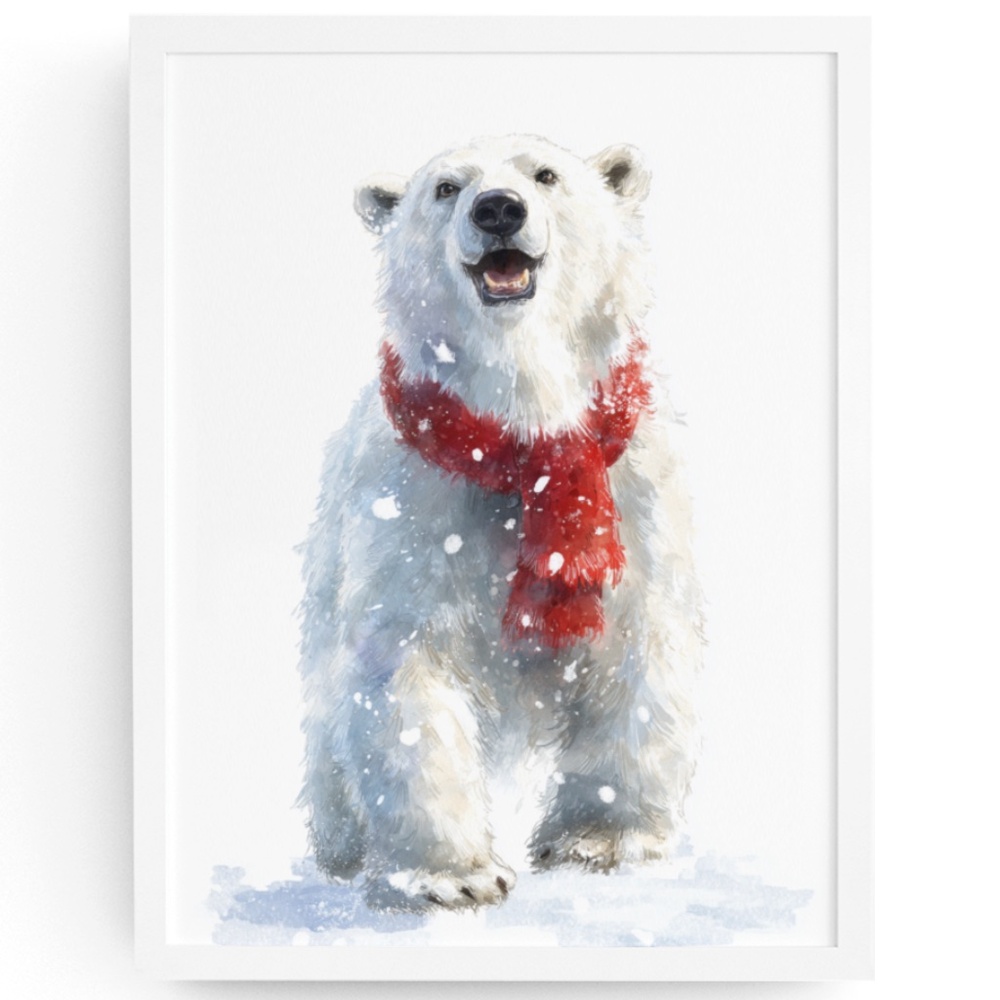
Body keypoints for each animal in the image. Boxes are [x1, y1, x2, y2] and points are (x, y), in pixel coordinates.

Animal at [297, 134, 704, 912]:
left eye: (546, 175)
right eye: (446, 188)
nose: (498, 210)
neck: (523, 435)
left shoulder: (631, 502)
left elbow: (633, 651)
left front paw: (602, 838)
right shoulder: (414, 514)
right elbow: (406, 667)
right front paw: (453, 875)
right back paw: (340, 850)